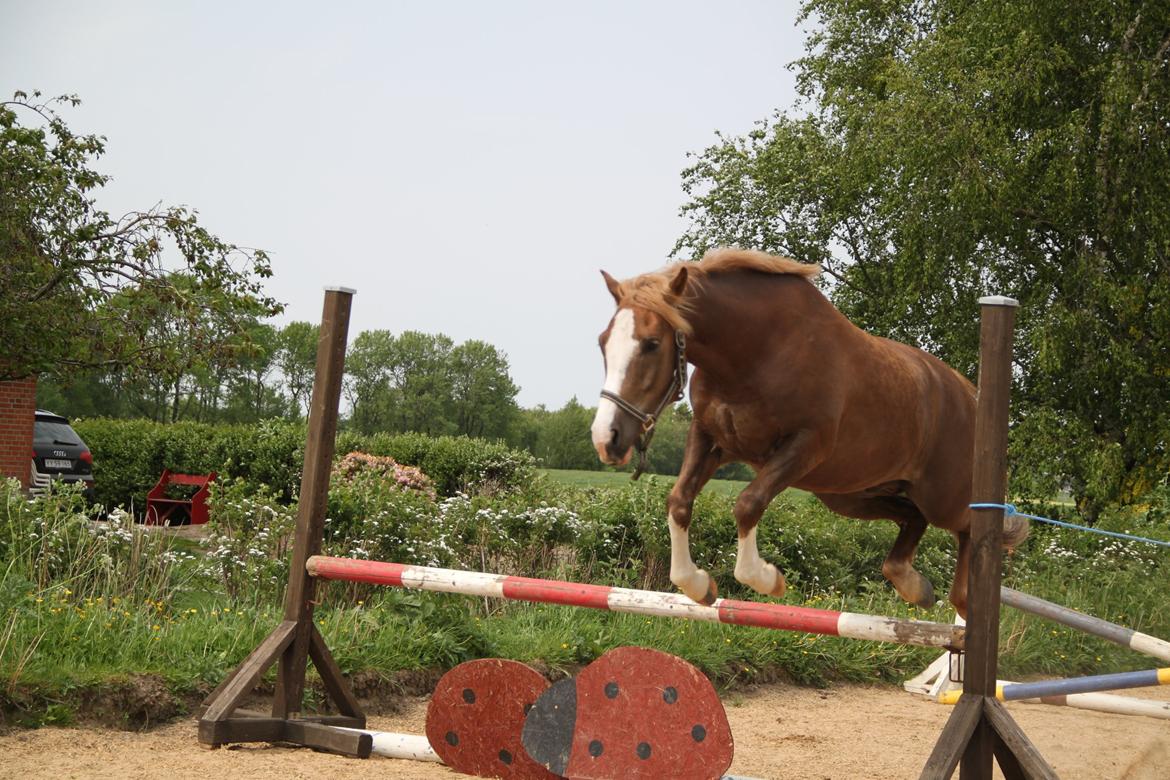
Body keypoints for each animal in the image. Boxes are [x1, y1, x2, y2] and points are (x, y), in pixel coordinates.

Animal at [589, 250, 1029, 617]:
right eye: (603, 342)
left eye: (651, 344)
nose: (606, 439)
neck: (755, 352)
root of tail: (969, 394)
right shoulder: (710, 438)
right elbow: (679, 501)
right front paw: (698, 586)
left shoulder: (803, 447)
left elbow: (747, 504)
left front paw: (768, 579)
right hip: (850, 495)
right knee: (911, 519)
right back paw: (913, 585)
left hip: (941, 497)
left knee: (971, 528)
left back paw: (964, 599)